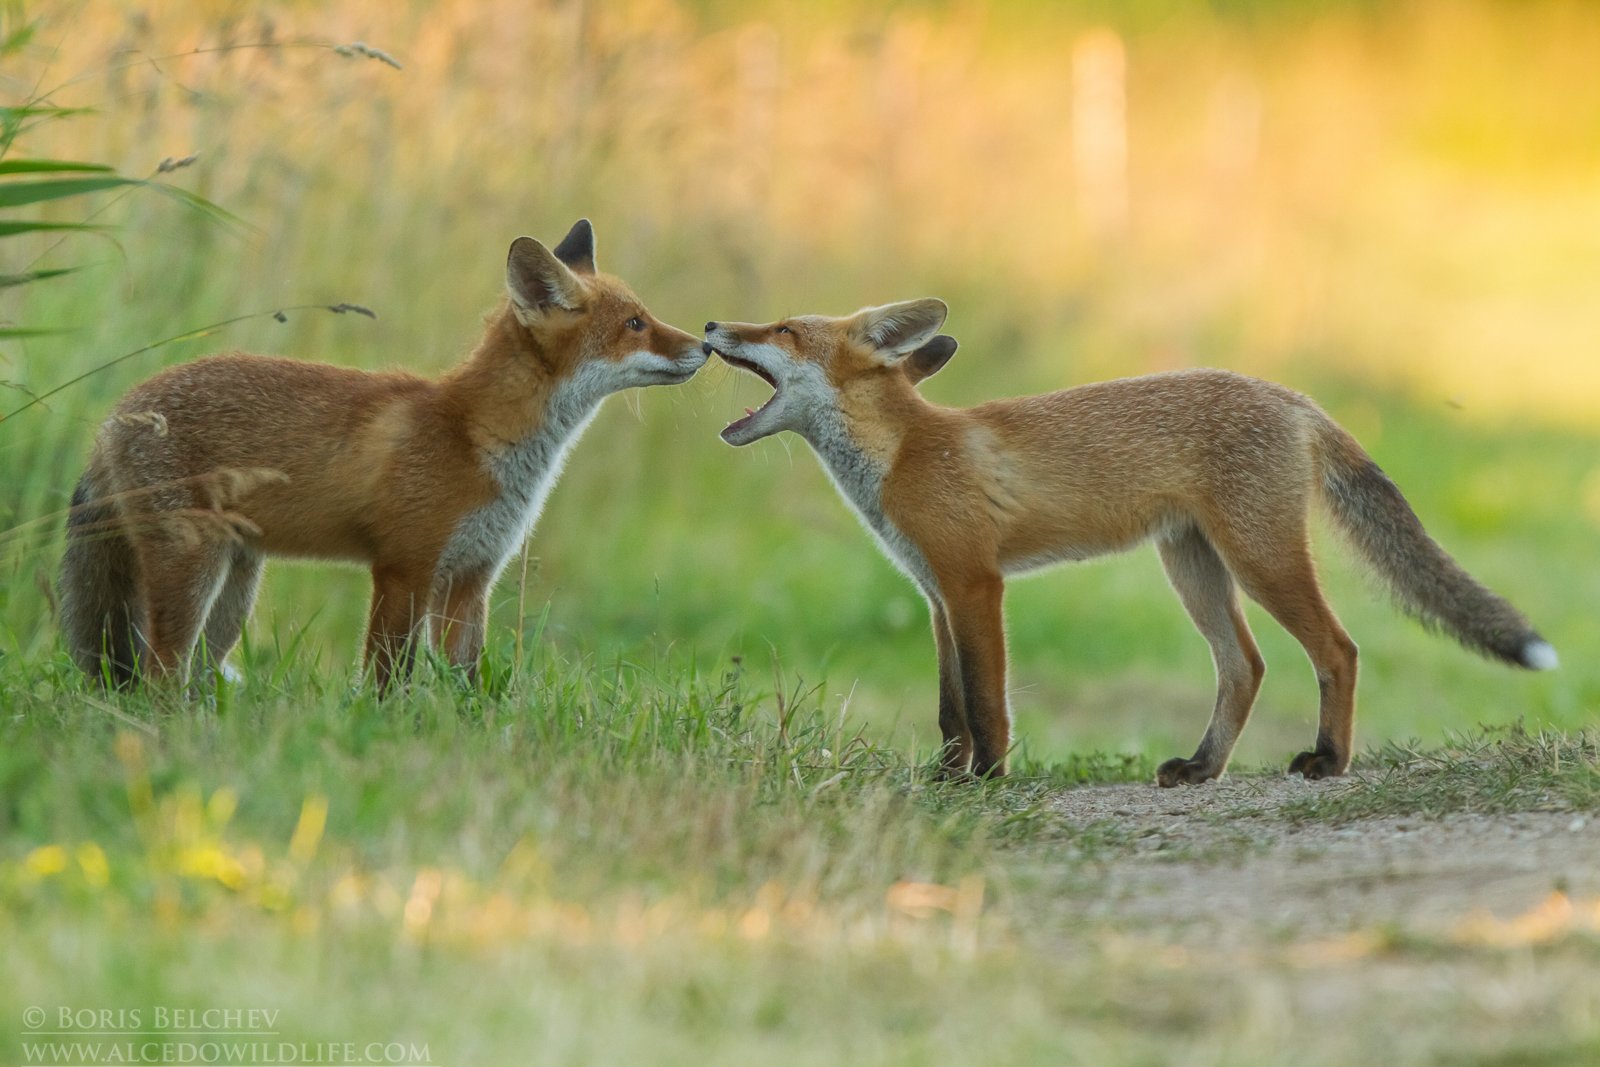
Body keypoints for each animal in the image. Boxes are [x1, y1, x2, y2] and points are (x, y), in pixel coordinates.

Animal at [64, 223, 700, 694]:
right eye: (635, 324)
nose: (705, 341)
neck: (473, 437)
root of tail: (118, 413)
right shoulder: (404, 567)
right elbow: (387, 678)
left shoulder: (471, 578)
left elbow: (466, 683)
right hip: (193, 571)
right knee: (158, 676)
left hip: (235, 588)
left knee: (190, 674)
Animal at [707, 300, 1555, 783]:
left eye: (783, 330)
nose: (713, 327)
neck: (907, 451)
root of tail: (1292, 397)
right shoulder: (935, 595)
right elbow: (949, 708)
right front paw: (945, 778)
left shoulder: (976, 584)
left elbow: (985, 702)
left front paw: (988, 778)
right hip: (1192, 565)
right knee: (1245, 666)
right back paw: (1203, 767)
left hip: (1260, 559)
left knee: (1337, 650)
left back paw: (1328, 760)